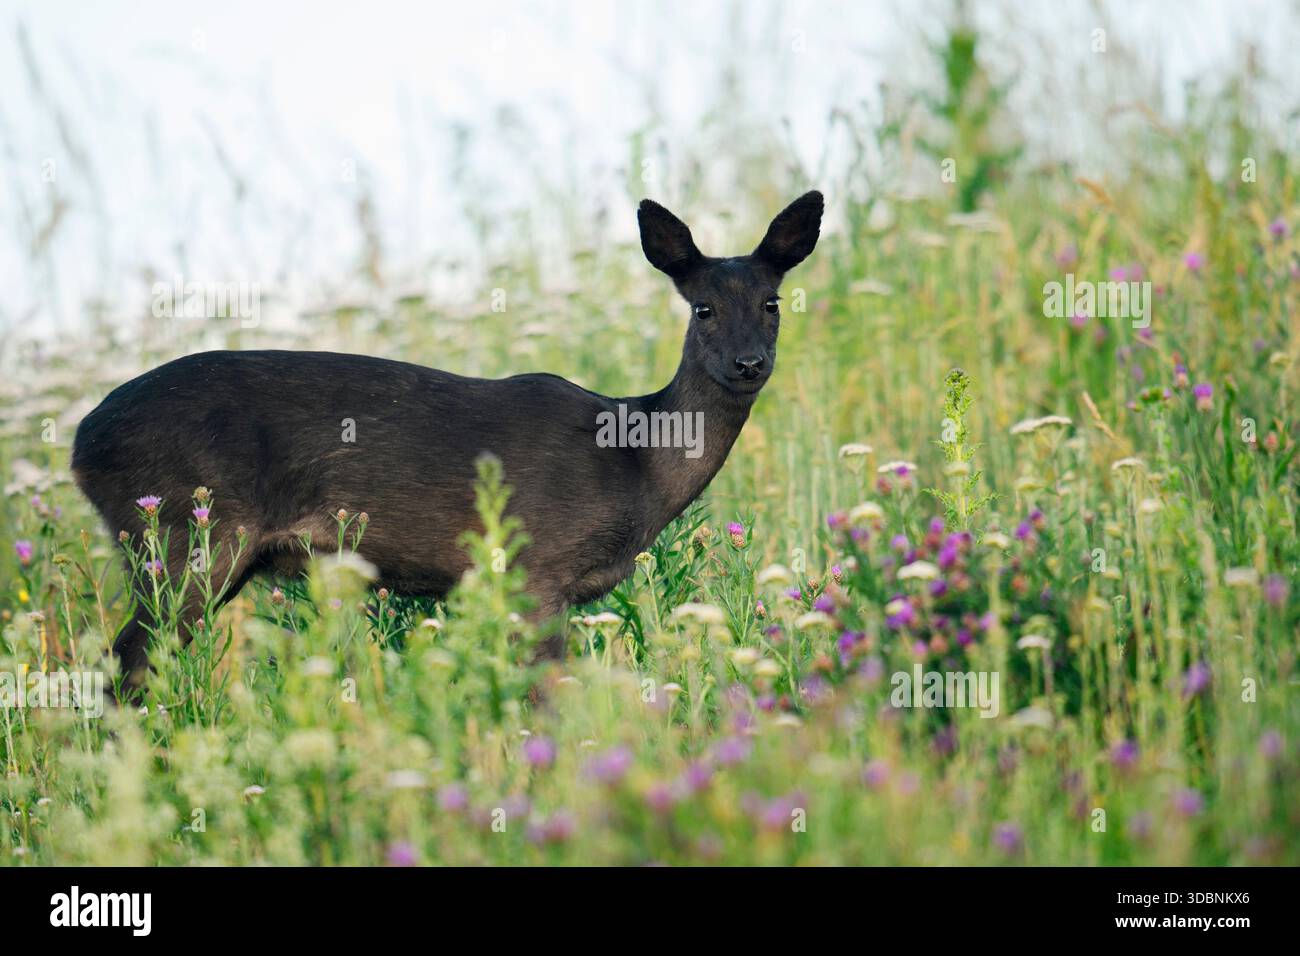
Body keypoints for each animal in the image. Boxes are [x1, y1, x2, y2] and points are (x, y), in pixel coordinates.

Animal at [72, 190, 823, 696]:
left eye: (771, 303)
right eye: (703, 309)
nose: (749, 363)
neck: (634, 462)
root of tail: (81, 442)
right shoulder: (534, 566)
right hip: (185, 535)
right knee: (124, 668)